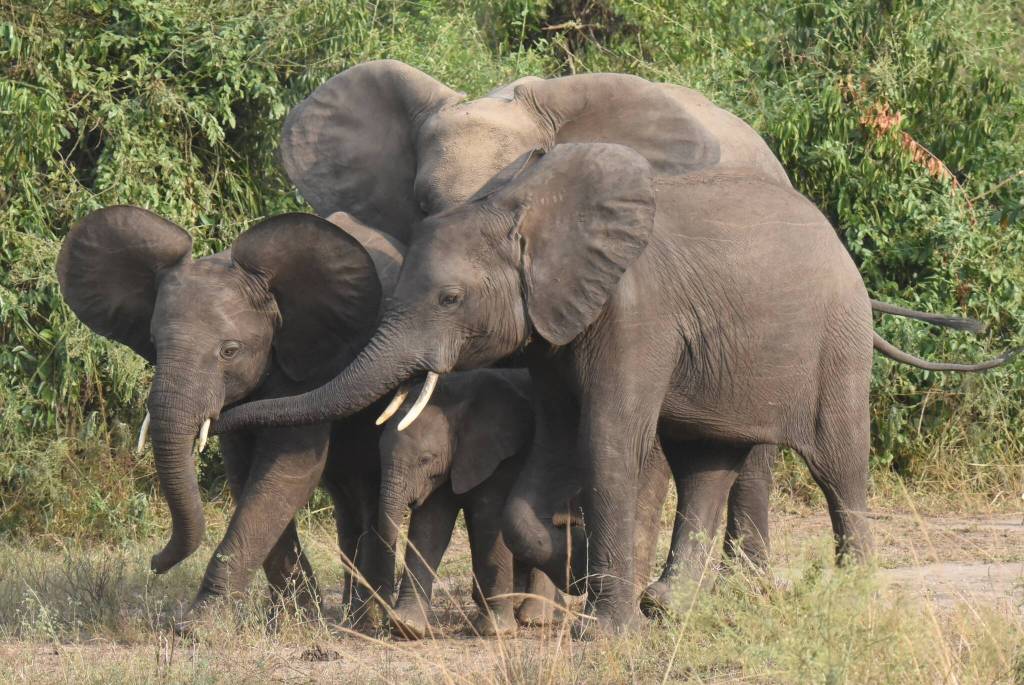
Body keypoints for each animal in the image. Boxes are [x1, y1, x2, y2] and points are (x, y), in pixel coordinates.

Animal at [57, 206, 402, 628]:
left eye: (230, 351)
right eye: (154, 343)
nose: (155, 563)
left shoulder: (310, 361)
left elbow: (287, 472)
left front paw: (197, 627)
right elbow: (244, 474)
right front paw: (295, 619)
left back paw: (369, 619)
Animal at [213, 143, 1014, 634]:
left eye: (448, 299)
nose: (226, 412)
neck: (525, 212)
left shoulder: (634, 309)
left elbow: (605, 437)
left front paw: (601, 623)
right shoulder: (552, 328)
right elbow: (555, 444)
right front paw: (575, 571)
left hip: (836, 344)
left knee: (839, 463)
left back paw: (848, 590)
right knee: (706, 463)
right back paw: (667, 603)